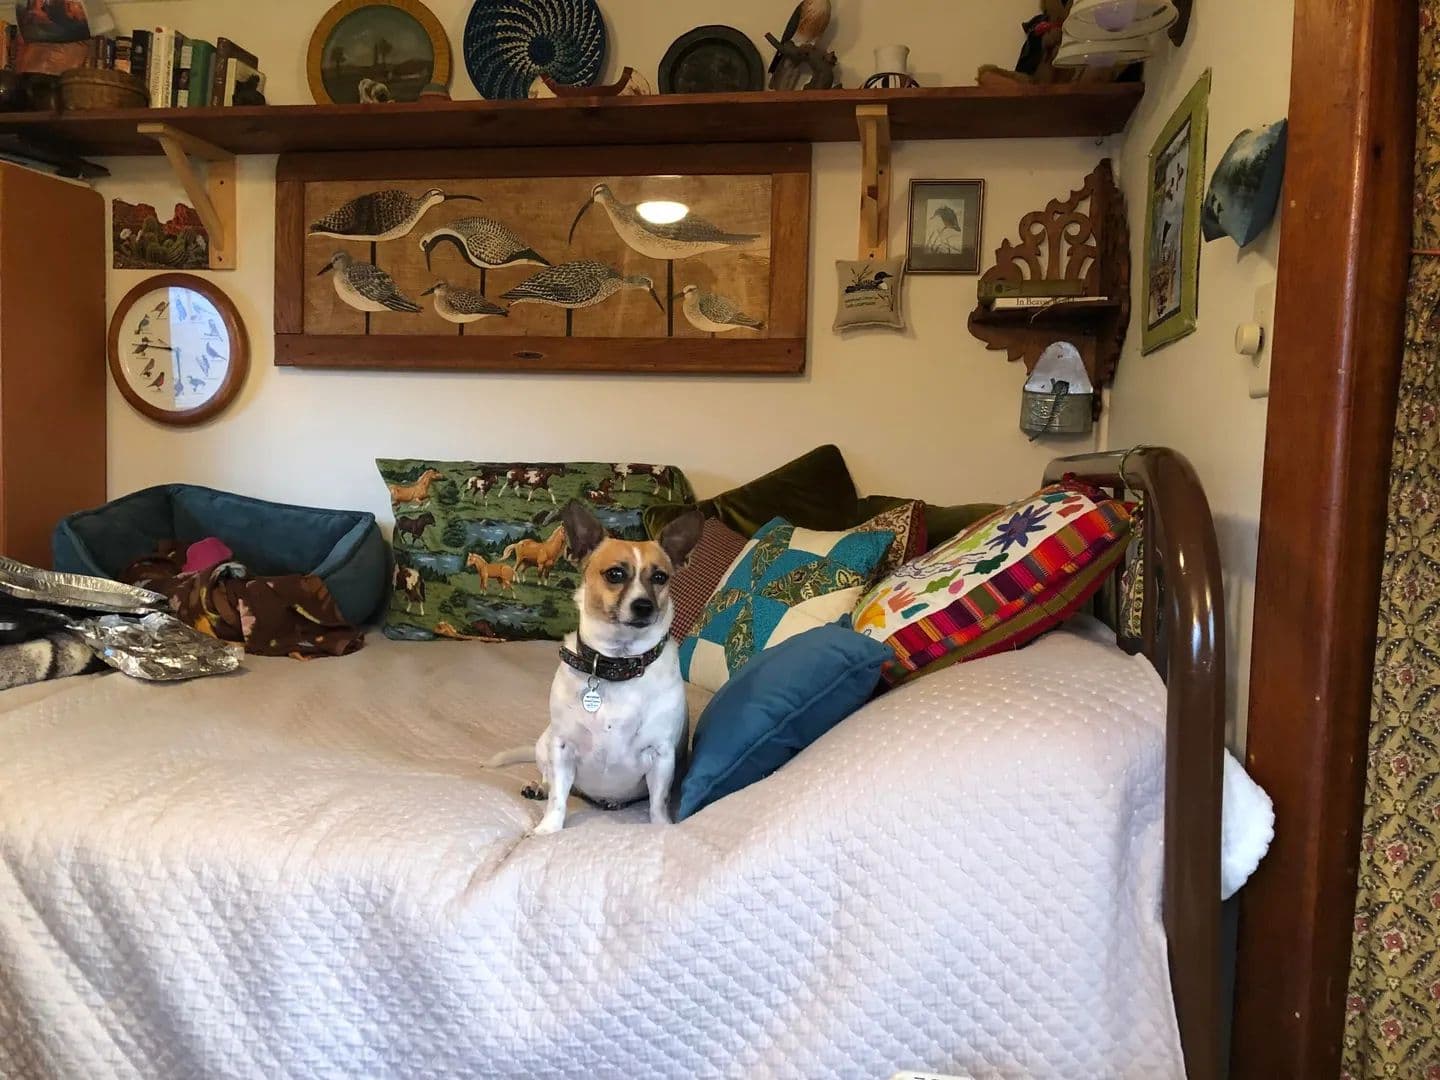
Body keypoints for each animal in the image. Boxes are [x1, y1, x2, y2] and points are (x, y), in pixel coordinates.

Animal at [486, 500, 704, 834]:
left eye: (660, 578)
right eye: (615, 574)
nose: (644, 606)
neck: (617, 664)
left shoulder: (661, 755)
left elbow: (658, 802)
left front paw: (661, 826)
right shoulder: (562, 748)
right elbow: (559, 799)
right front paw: (548, 830)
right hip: (546, 743)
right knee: (550, 779)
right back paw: (539, 787)